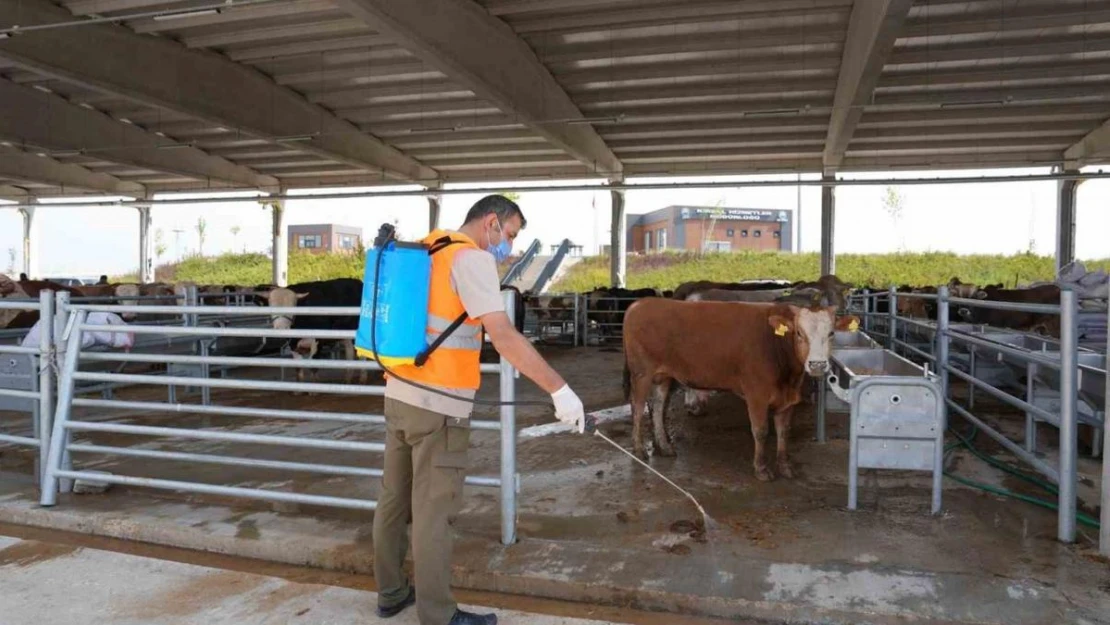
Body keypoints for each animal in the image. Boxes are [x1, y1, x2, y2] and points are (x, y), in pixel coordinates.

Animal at [626, 299, 856, 481]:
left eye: (831, 333)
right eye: (799, 333)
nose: (817, 365)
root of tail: (640, 304)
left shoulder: (788, 400)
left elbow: (784, 432)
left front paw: (785, 467)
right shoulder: (757, 395)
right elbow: (761, 431)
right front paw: (761, 469)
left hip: (663, 377)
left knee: (657, 407)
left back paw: (665, 447)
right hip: (641, 373)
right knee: (637, 407)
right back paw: (639, 449)